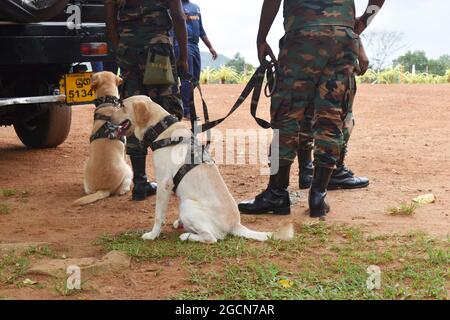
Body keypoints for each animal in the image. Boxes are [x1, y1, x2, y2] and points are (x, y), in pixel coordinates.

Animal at [109, 95, 292, 242]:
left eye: (122, 105)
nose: (107, 117)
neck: (162, 129)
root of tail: (236, 225)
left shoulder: (164, 184)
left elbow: (158, 216)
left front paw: (153, 235)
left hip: (187, 206)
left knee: (213, 238)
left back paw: (187, 236)